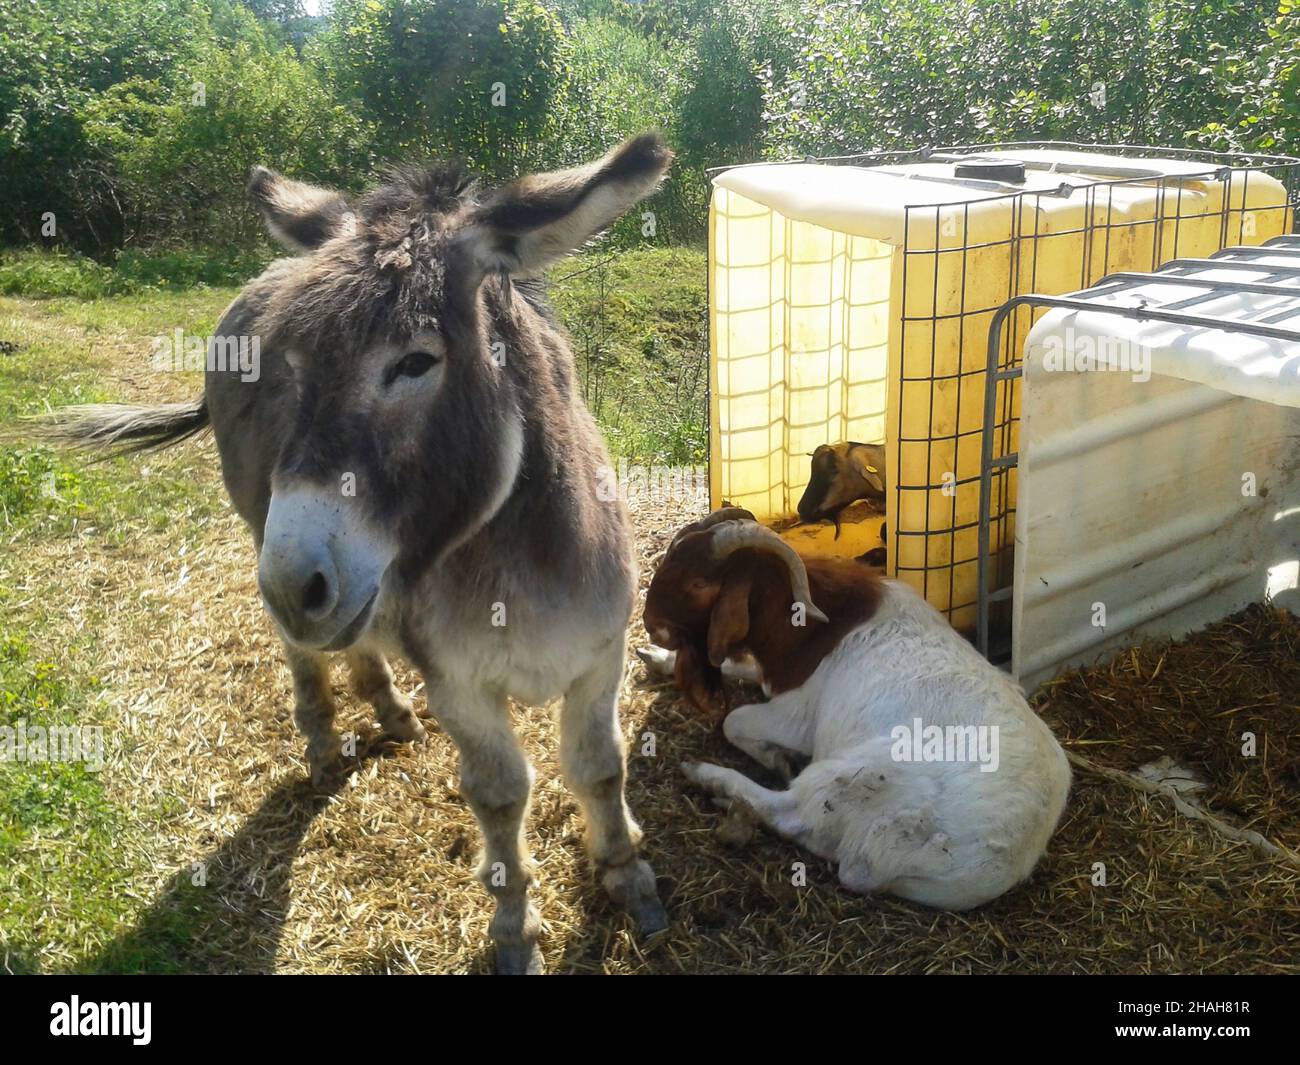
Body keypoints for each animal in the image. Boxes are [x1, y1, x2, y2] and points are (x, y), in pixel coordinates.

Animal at [35, 134, 674, 973]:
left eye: (416, 361)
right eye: (292, 368)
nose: (297, 581)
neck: (520, 559)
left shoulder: (600, 656)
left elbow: (601, 767)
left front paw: (629, 877)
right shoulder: (459, 683)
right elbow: (501, 794)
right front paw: (514, 930)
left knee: (350, 632)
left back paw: (389, 706)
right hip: (264, 534)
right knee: (301, 648)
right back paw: (318, 732)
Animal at [643, 509, 1070, 910]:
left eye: (699, 584)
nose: (649, 624)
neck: (815, 627)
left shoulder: (796, 716)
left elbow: (733, 722)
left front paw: (777, 757)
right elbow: (738, 667)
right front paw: (656, 657)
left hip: (855, 778)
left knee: (790, 813)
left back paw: (710, 778)